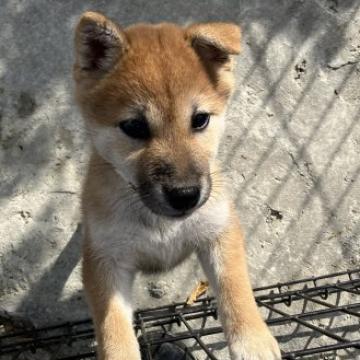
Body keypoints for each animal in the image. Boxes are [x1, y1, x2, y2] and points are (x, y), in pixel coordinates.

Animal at [73, 11, 282, 360]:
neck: (160, 223)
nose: (185, 196)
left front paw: (252, 341)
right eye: (134, 126)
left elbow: (234, 286)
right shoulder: (105, 261)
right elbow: (113, 326)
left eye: (200, 120)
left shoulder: (219, 231)